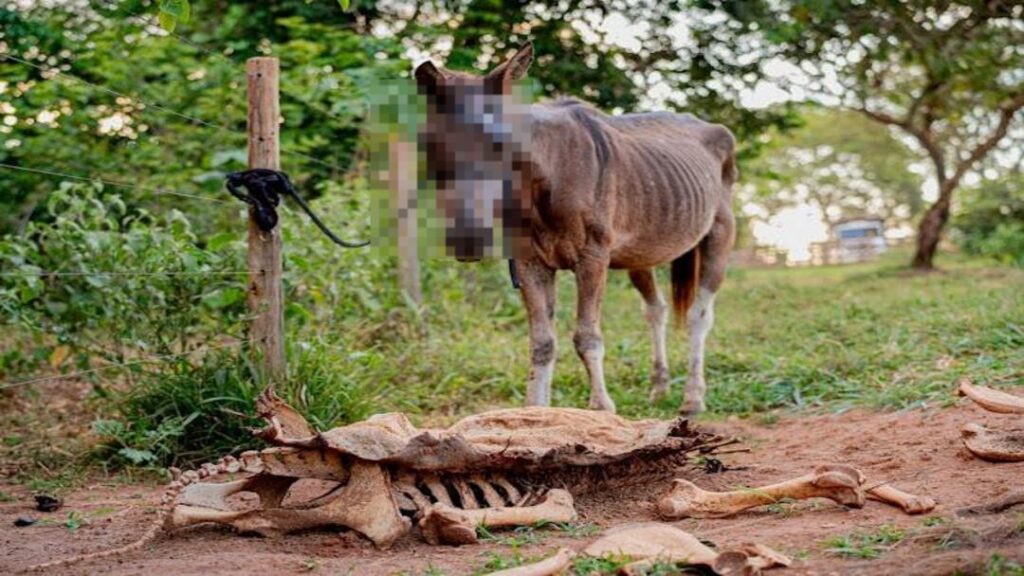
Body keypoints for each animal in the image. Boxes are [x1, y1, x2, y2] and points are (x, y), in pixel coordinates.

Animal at [414, 42, 737, 414]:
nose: (469, 239)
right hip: (640, 252)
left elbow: (587, 337)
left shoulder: (592, 257)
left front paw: (602, 410)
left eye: (501, 144)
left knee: (700, 314)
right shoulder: (529, 262)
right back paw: (659, 389)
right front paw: (535, 413)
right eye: (430, 143)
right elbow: (542, 343)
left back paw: (693, 398)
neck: (548, 179)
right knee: (656, 309)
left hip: (719, 235)